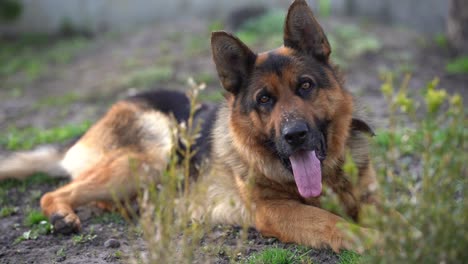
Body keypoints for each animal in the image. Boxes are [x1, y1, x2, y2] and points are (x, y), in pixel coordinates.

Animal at [0, 0, 376, 252]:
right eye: (264, 100)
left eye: (306, 86)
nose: (295, 135)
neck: (326, 177)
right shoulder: (272, 210)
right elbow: (330, 221)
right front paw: (372, 239)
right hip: (154, 152)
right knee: (57, 192)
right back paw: (64, 214)